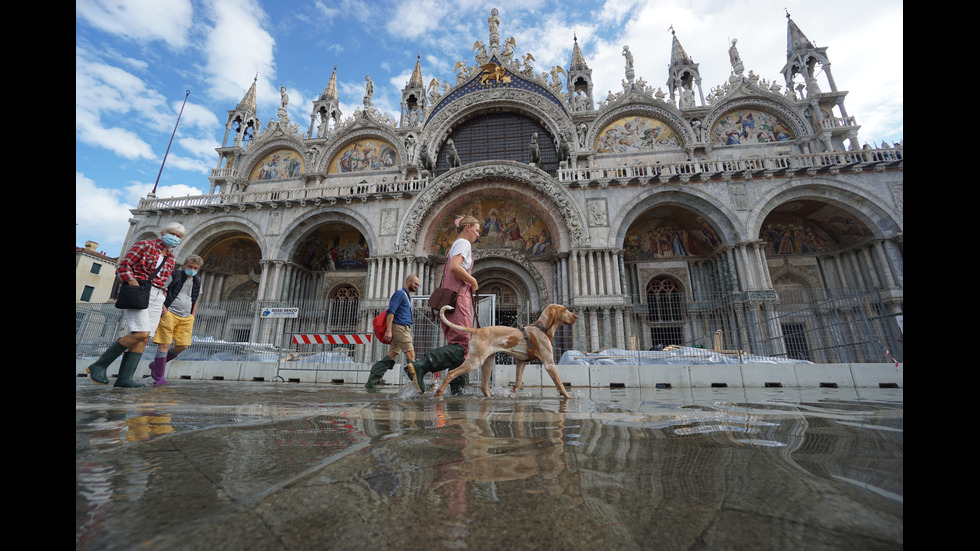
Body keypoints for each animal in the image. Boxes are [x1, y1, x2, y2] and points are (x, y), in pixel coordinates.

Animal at [434, 304, 580, 398]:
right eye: (565, 309)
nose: (577, 316)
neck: (541, 328)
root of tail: (477, 330)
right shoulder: (549, 364)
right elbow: (560, 383)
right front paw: (568, 397)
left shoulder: (521, 362)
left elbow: (517, 383)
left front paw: (511, 395)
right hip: (475, 361)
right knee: (451, 373)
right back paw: (439, 393)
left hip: (487, 363)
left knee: (484, 386)